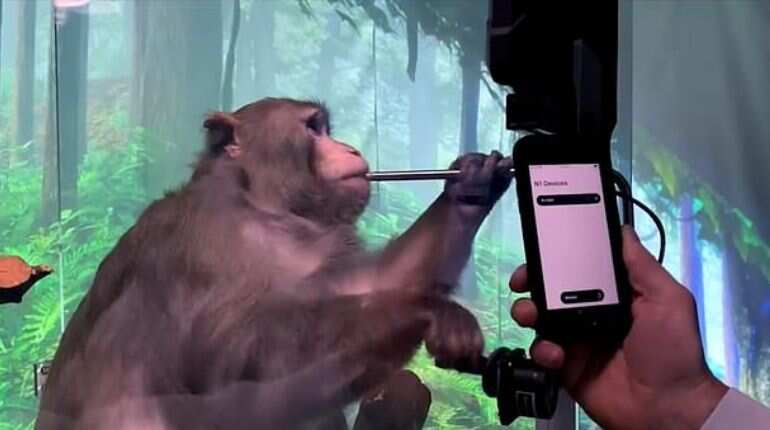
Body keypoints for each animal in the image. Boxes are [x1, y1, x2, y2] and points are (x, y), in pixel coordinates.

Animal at [35, 98, 513, 430]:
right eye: (313, 128)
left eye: (326, 128)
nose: (349, 147)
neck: (260, 209)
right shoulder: (207, 243)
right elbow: (242, 365)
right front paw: (427, 310)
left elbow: (369, 284)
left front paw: (470, 187)